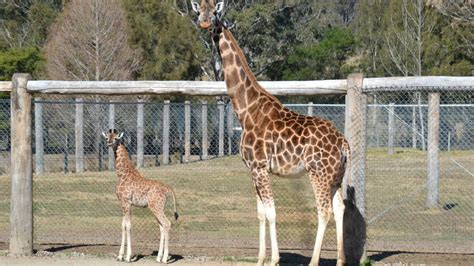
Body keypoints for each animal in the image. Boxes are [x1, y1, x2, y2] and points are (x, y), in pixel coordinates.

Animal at [103, 129, 179, 264]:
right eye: (107, 137)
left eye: (116, 138)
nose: (109, 142)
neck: (122, 174)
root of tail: (167, 189)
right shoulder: (123, 203)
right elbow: (123, 225)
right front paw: (120, 256)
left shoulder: (127, 202)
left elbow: (128, 226)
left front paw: (128, 257)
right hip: (156, 207)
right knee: (161, 226)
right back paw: (158, 257)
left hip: (156, 207)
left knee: (166, 224)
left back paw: (165, 258)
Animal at [193, 1, 352, 264]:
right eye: (199, 10)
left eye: (215, 11)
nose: (204, 22)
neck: (246, 110)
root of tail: (343, 144)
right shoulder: (253, 170)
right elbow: (260, 213)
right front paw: (260, 258)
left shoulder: (259, 167)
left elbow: (271, 212)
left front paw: (274, 258)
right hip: (336, 176)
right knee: (340, 208)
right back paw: (340, 260)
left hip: (318, 173)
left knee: (324, 210)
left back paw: (314, 260)